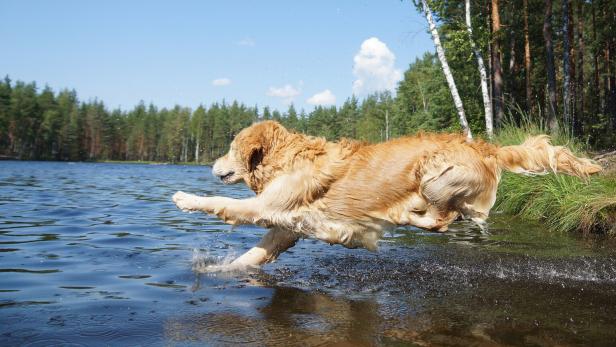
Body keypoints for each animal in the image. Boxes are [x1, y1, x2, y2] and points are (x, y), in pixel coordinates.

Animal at [173, 121, 600, 268]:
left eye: (230, 148)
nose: (212, 165)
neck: (286, 159)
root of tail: (486, 147)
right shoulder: (287, 227)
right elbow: (254, 255)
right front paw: (219, 272)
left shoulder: (269, 206)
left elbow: (224, 204)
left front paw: (186, 199)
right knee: (451, 217)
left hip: (434, 176)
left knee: (442, 220)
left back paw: (404, 215)